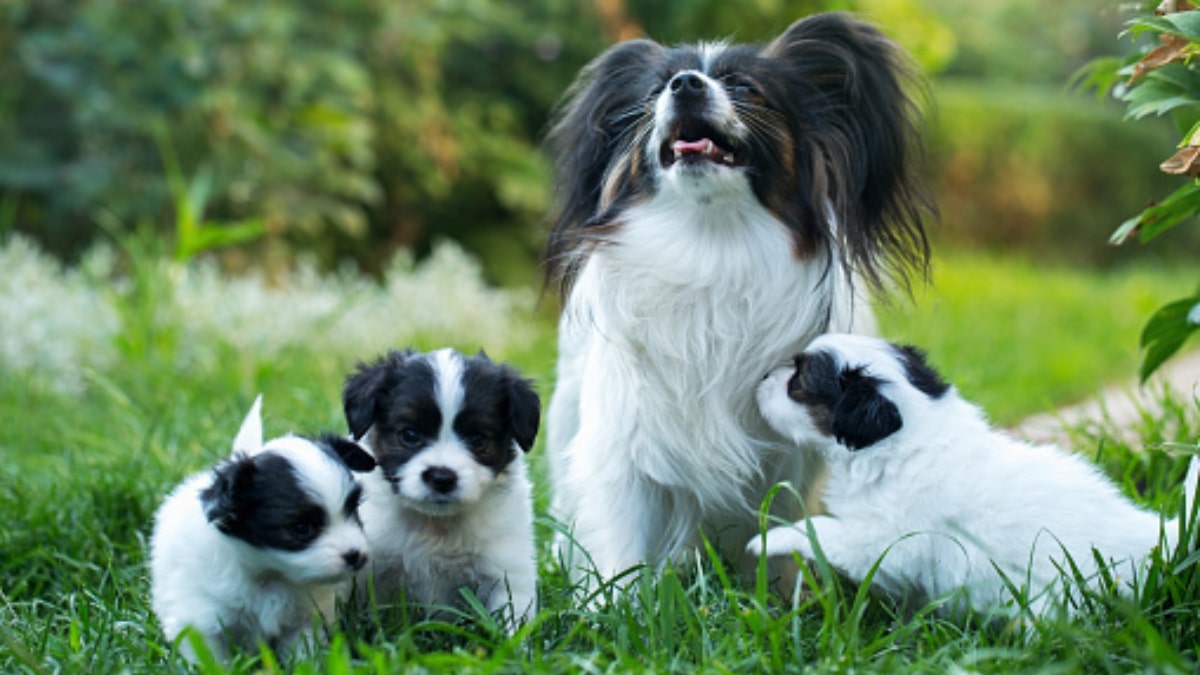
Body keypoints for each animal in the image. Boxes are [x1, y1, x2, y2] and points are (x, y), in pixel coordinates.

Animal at [150, 393, 376, 662]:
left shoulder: (304, 619)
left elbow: (302, 652)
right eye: (301, 528)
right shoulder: (202, 621)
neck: (269, 573)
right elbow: (212, 659)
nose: (356, 555)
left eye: (353, 510)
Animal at [340, 345, 542, 629]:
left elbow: (512, 618)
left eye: (478, 439)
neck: (436, 525)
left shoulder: (505, 569)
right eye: (410, 435)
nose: (442, 477)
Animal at [542, 10, 936, 581]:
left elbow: (775, 534)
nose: (686, 85)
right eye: (658, 89)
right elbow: (621, 548)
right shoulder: (623, 446)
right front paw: (612, 599)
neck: (711, 245)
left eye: (745, 87)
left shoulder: (788, 459)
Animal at [744, 331, 1195, 614]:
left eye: (797, 383)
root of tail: (1158, 539)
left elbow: (822, 529)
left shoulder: (886, 539)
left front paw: (768, 539)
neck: (908, 436)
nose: (763, 376)